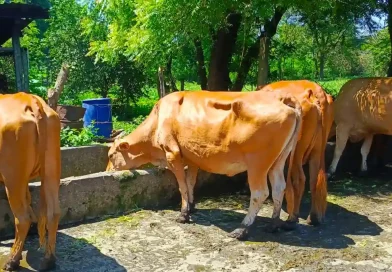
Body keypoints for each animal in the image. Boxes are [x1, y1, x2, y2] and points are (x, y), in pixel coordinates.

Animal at [105, 90, 302, 239]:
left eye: (111, 154)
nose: (107, 170)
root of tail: (282, 98)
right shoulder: (192, 158)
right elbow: (191, 183)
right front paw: (191, 206)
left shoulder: (172, 154)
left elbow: (182, 186)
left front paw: (183, 214)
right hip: (278, 160)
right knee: (279, 187)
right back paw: (274, 224)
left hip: (258, 163)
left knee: (260, 192)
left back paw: (242, 229)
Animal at [258, 80, 334, 230]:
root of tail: (315, 92)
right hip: (318, 150)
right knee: (315, 180)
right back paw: (314, 218)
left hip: (298, 151)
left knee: (300, 179)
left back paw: (293, 217)